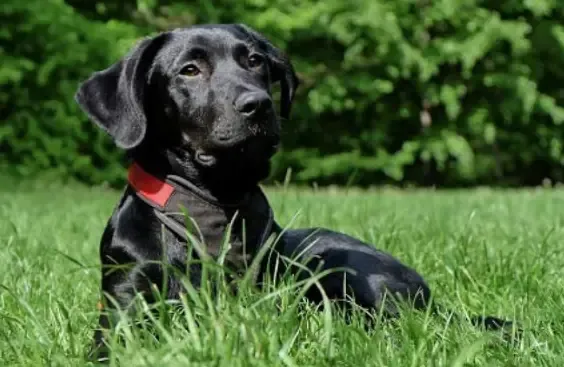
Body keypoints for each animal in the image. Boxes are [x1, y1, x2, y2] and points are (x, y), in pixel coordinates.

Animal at [76, 23, 520, 362]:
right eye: (189, 70)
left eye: (254, 60)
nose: (258, 104)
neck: (213, 207)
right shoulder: (123, 302)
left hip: (344, 268)